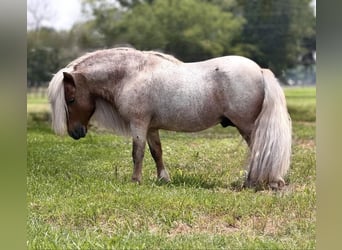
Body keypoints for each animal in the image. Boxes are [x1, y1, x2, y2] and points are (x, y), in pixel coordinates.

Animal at [48, 47, 292, 189]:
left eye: (70, 99)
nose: (75, 133)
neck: (131, 74)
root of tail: (260, 70)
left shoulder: (138, 124)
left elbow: (137, 153)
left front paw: (135, 180)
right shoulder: (151, 127)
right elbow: (156, 152)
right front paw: (163, 178)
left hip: (247, 126)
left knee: (259, 149)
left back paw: (255, 182)